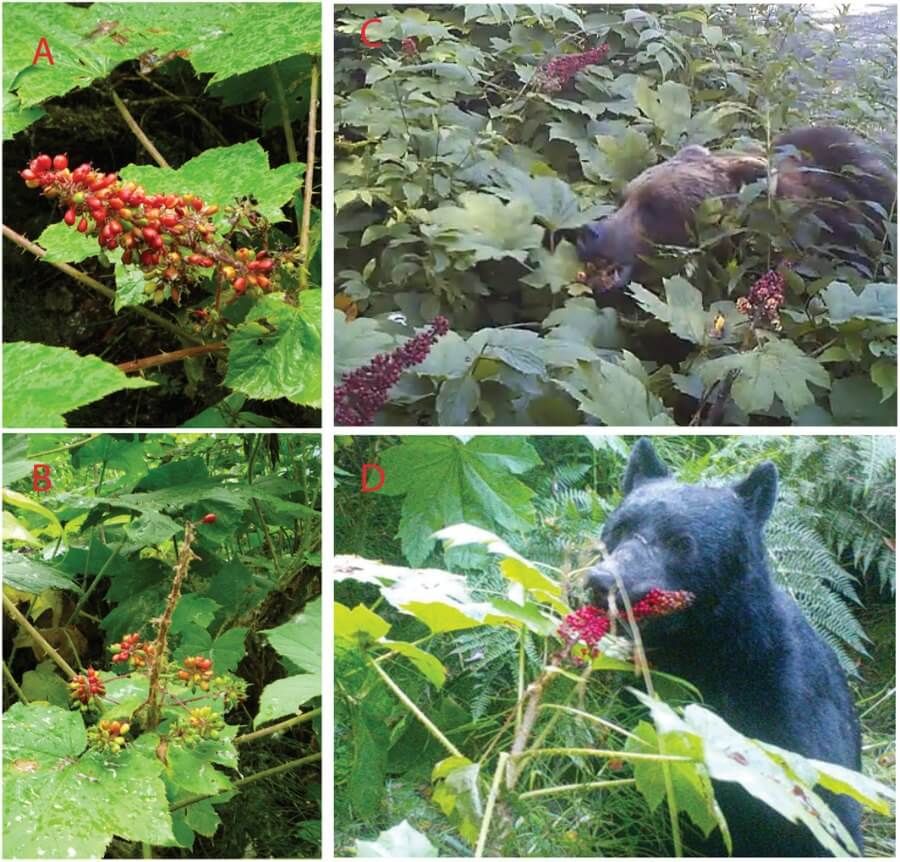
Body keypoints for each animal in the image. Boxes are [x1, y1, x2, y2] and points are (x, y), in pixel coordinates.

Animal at [586, 438, 863, 857]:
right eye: (618, 528)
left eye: (681, 541)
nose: (603, 582)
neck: (707, 650)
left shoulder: (797, 715)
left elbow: (829, 818)